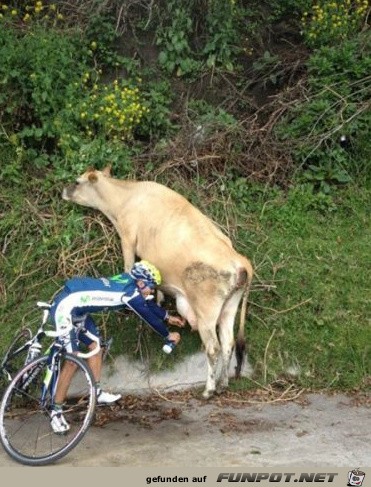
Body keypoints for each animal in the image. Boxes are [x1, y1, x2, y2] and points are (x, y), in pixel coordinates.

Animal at [62, 166, 254, 398]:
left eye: (77, 181)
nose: (63, 190)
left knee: (213, 348)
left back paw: (209, 389)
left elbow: (128, 265)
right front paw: (159, 299)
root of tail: (240, 260)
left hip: (206, 312)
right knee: (228, 343)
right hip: (229, 308)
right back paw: (223, 383)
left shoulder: (127, 238)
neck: (126, 196)